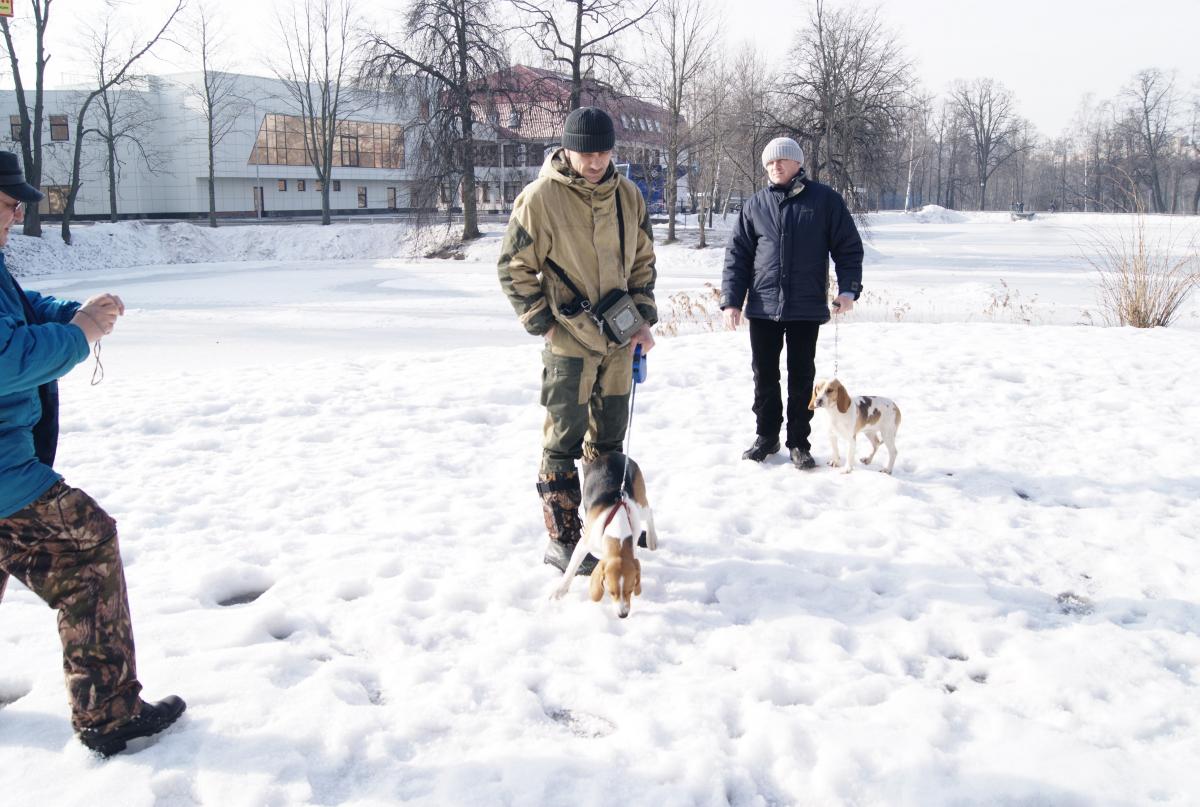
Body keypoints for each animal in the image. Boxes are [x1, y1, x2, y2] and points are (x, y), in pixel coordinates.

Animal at [551, 452, 657, 618]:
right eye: (611, 592)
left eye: (630, 590)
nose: (623, 615)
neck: (618, 532)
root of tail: (613, 454)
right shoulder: (583, 544)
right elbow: (570, 569)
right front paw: (559, 591)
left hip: (639, 505)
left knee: (650, 512)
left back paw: (651, 540)